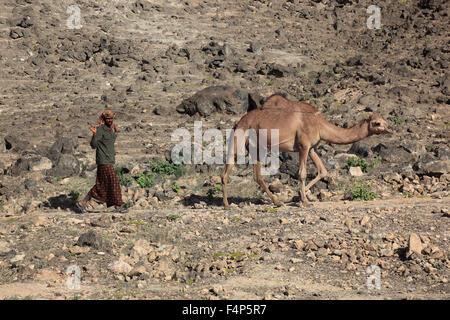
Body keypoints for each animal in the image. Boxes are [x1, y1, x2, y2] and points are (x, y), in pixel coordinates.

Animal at [221, 94, 390, 209]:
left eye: (383, 120)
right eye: (377, 123)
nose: (389, 128)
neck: (319, 124)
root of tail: (238, 122)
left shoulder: (312, 148)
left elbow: (323, 171)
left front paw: (298, 197)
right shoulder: (303, 145)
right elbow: (301, 173)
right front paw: (305, 201)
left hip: (257, 147)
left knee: (255, 175)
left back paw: (276, 201)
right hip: (241, 140)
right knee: (228, 170)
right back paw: (228, 204)